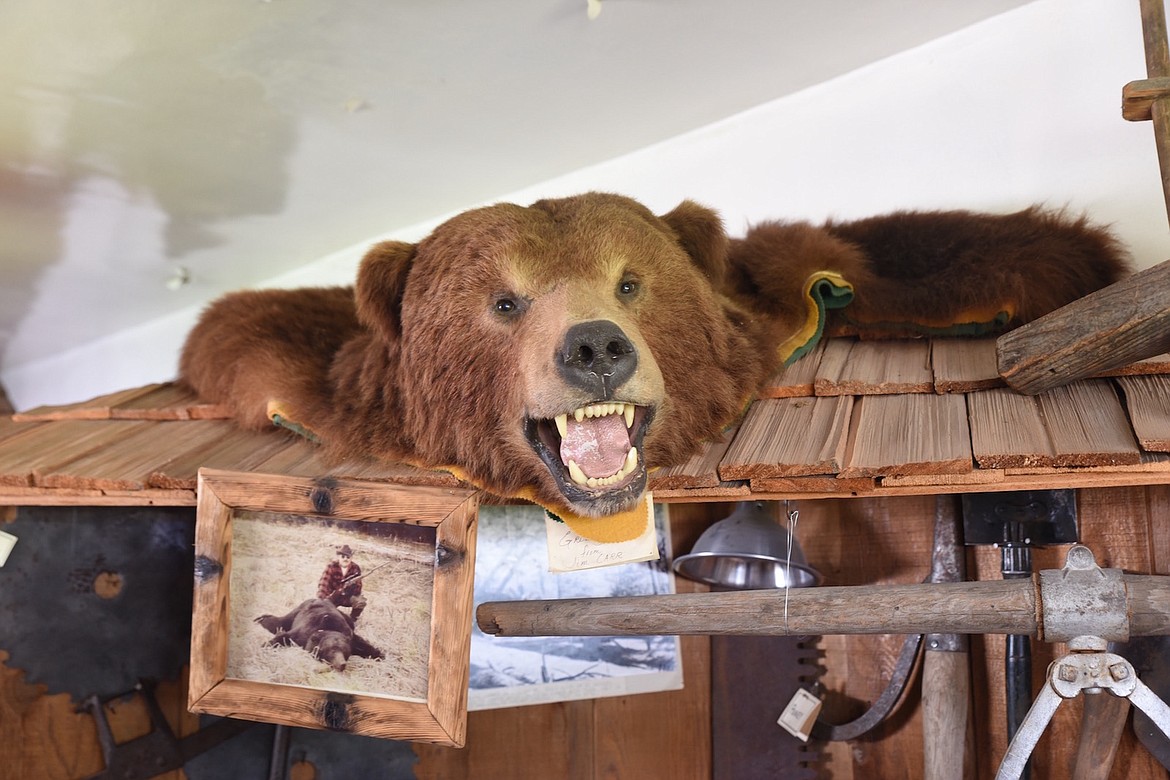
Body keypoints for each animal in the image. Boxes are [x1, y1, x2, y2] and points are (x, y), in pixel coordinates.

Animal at [177, 191, 1127, 519]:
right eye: (504, 300)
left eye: (630, 281)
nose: (594, 346)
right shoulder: (302, 362)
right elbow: (247, 338)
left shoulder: (786, 282)